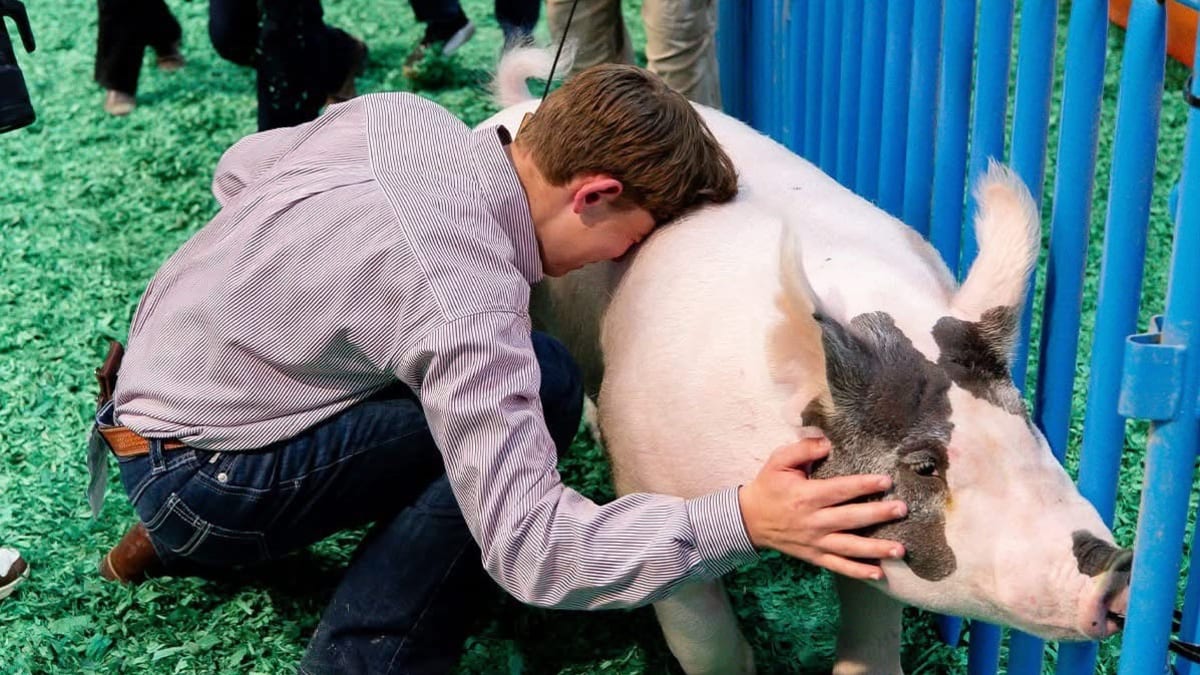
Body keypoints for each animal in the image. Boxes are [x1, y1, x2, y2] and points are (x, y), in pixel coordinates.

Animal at [479, 48, 1132, 675]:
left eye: (1026, 421)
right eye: (924, 465)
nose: (1119, 567)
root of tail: (521, 105)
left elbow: (872, 650)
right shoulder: (645, 486)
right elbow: (706, 645)